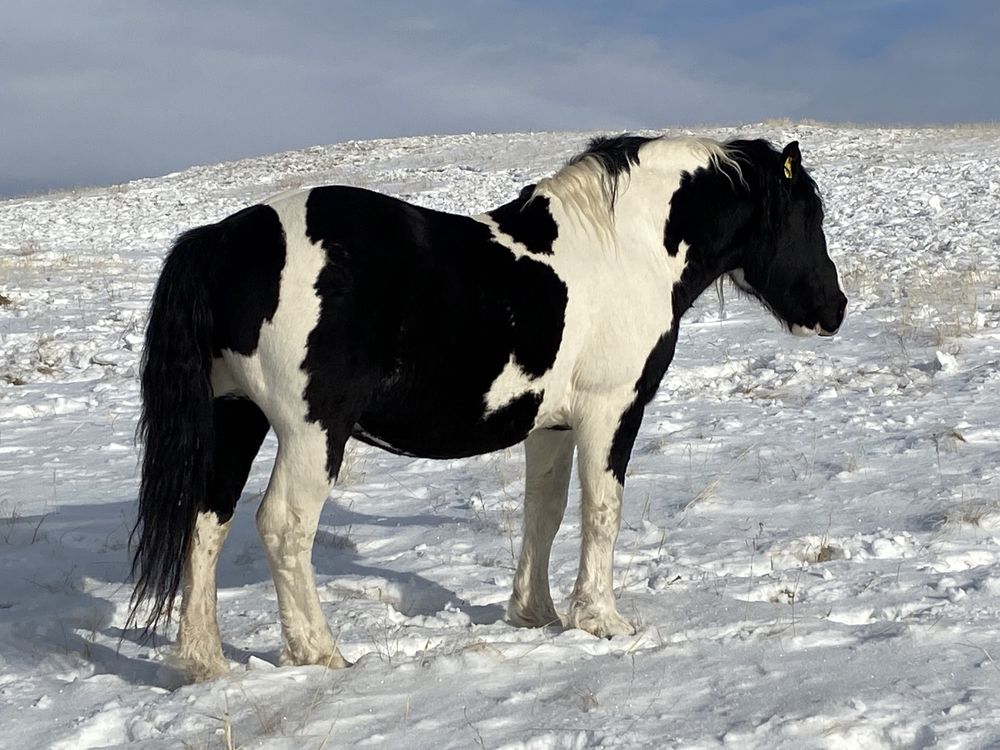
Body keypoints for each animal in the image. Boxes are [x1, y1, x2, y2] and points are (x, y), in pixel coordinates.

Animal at [131, 134, 844, 680]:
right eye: (808, 218)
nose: (833, 310)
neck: (625, 248)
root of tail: (224, 241)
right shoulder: (611, 413)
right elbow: (602, 512)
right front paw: (602, 621)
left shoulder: (552, 425)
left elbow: (544, 513)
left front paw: (536, 614)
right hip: (312, 431)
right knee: (283, 526)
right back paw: (320, 654)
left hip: (235, 417)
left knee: (206, 522)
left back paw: (204, 661)